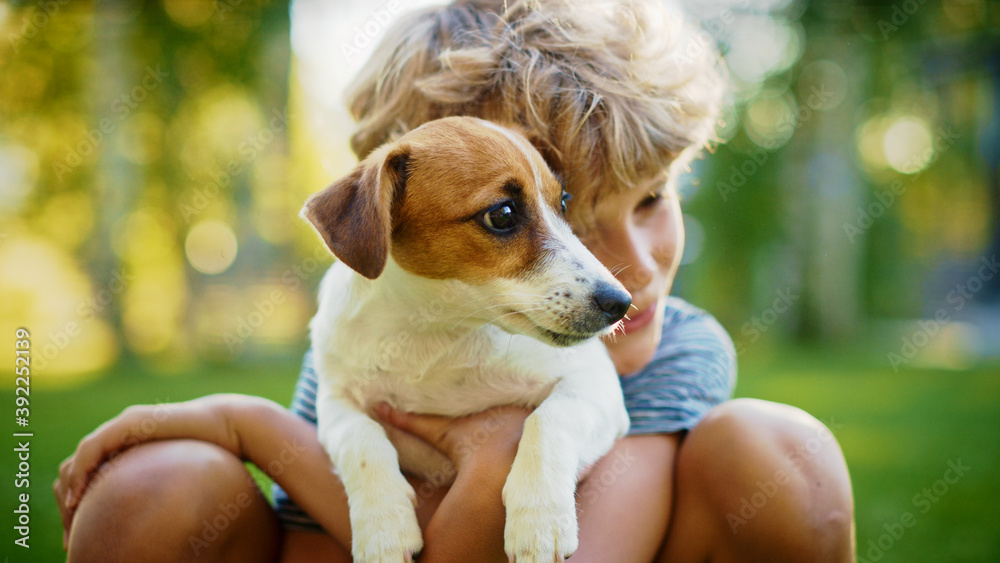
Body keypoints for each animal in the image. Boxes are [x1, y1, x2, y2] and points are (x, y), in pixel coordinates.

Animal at [304, 115, 628, 563]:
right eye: (503, 214)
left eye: (562, 203)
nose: (621, 303)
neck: (434, 327)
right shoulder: (334, 401)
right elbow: (362, 441)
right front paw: (383, 528)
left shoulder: (593, 381)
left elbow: (548, 420)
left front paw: (539, 518)